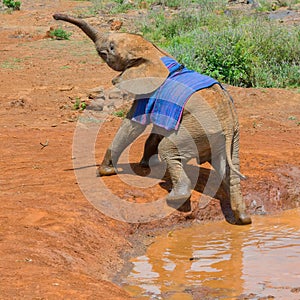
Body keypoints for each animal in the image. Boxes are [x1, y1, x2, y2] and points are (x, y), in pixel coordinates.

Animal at [53, 14, 251, 225]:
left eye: (112, 47)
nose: (56, 16)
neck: (154, 51)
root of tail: (229, 123)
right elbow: (154, 131)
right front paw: (145, 165)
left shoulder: (146, 91)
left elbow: (133, 125)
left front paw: (105, 171)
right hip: (228, 138)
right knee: (229, 172)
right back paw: (243, 219)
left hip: (198, 129)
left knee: (169, 148)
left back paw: (176, 198)